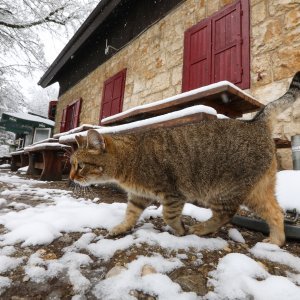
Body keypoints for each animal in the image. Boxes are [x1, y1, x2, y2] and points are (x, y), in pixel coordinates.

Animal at [70, 72, 300, 246]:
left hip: (225, 190)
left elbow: (169, 215)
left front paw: (180, 230)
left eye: (80, 166)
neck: (128, 161)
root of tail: (255, 122)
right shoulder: (138, 196)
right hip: (259, 191)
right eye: (71, 165)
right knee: (276, 212)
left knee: (226, 214)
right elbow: (130, 214)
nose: (71, 177)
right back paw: (276, 241)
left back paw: (201, 228)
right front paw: (121, 228)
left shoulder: (172, 193)